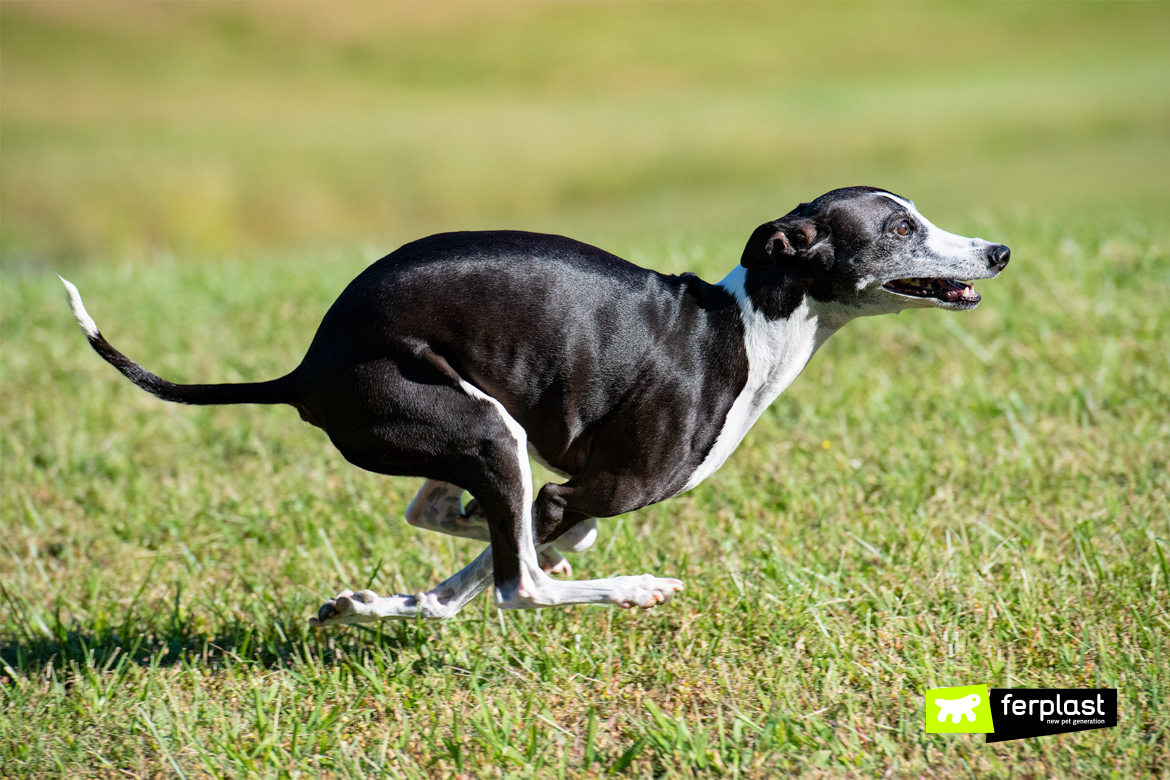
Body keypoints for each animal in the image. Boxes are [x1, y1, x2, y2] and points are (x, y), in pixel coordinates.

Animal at [64, 185, 1010, 626]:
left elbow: (481, 564)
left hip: (482, 429)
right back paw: (632, 588)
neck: (742, 329)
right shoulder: (586, 487)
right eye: (898, 230)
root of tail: (307, 368)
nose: (998, 251)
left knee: (450, 523)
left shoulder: (561, 491)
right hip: (480, 427)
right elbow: (524, 557)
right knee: (518, 586)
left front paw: (381, 604)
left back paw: (382, 601)